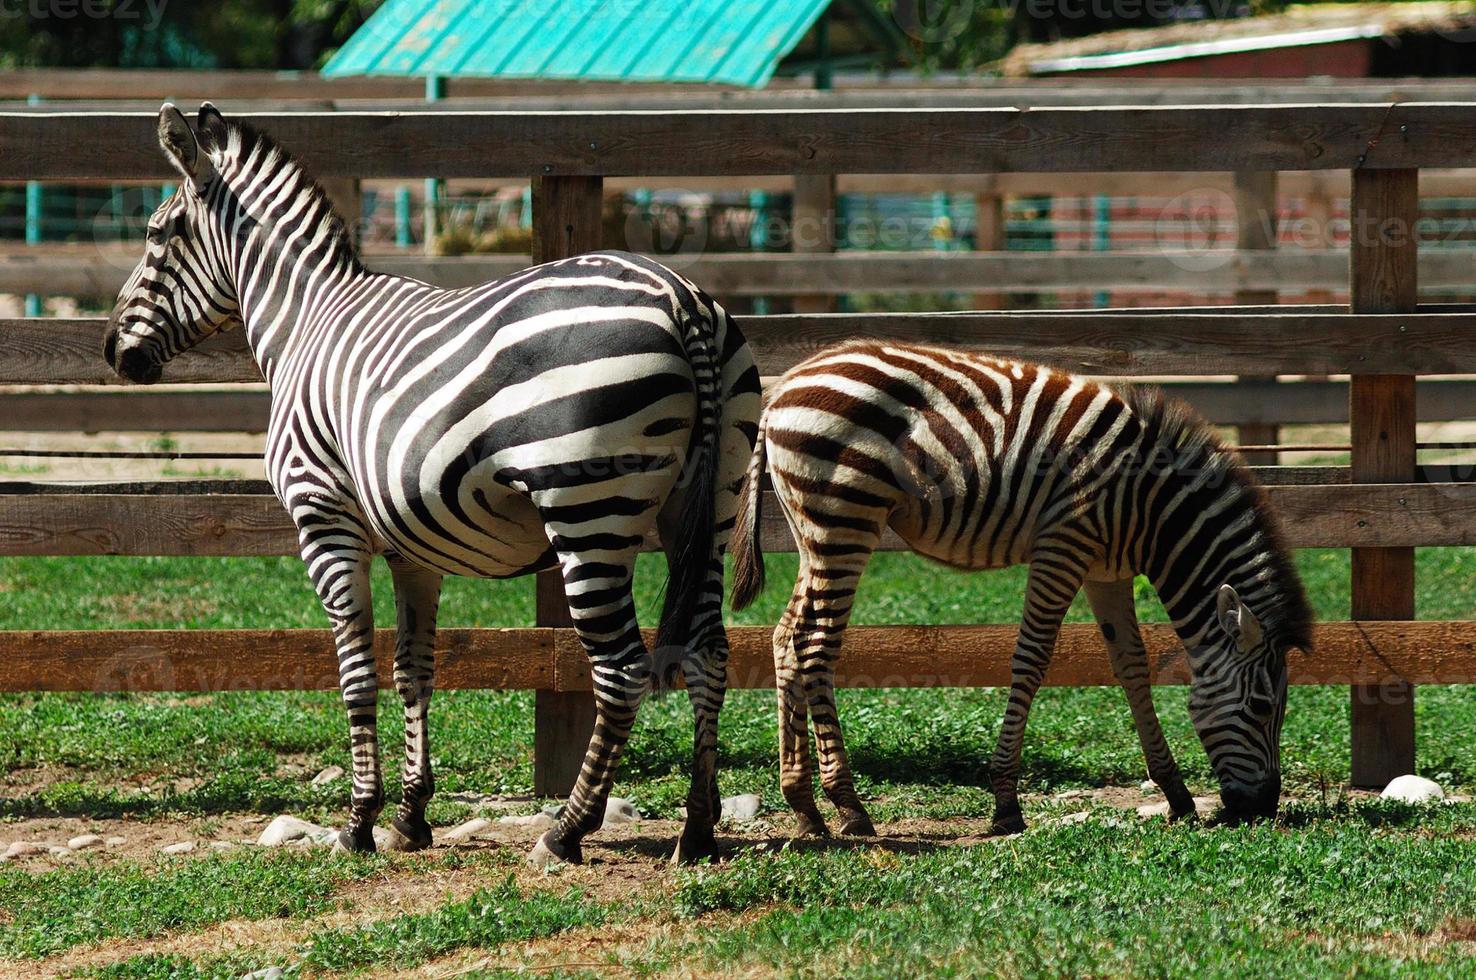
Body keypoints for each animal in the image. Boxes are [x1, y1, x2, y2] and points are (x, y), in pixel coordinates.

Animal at [101, 105, 761, 867]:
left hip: (587, 511)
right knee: (708, 654)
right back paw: (697, 827)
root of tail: (679, 297)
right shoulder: (412, 547)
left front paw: (358, 821)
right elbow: (413, 667)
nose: (112, 351)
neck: (305, 322)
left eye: (156, 234)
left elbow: (356, 669)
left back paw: (567, 830)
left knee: (622, 669)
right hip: (708, 506)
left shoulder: (324, 520)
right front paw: (411, 817)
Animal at [732, 342, 1310, 832]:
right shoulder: (1064, 546)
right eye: (1262, 708)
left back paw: (805, 809)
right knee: (815, 645)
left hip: (814, 534)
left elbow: (1132, 668)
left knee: (785, 638)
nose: (1263, 808)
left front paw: (1177, 794)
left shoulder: (1107, 571)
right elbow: (1032, 661)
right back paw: (849, 807)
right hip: (843, 521)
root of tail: (784, 388)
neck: (1151, 508)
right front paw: (1006, 803)